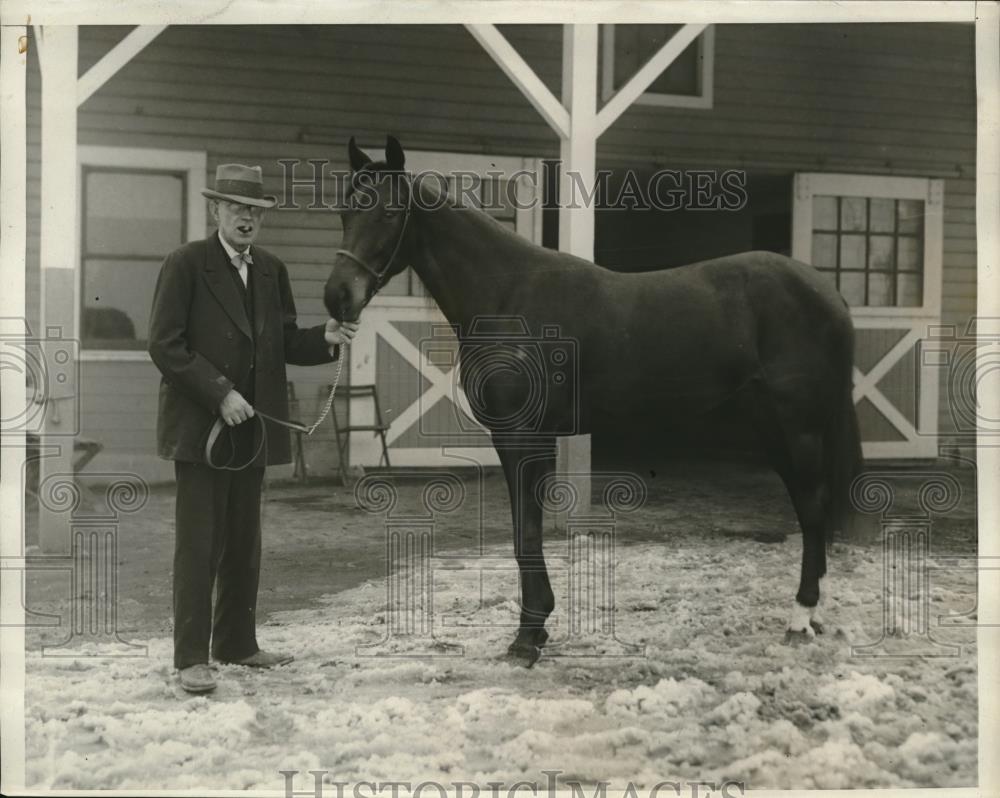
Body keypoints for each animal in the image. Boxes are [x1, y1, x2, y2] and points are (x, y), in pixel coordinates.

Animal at [324, 138, 864, 668]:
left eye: (390, 212)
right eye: (345, 210)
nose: (337, 298)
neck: (508, 296)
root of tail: (828, 292)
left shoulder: (521, 437)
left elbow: (527, 532)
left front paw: (527, 638)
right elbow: (526, 530)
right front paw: (536, 629)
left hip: (798, 428)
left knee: (812, 507)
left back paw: (800, 617)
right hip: (773, 429)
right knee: (809, 508)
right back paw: (811, 615)